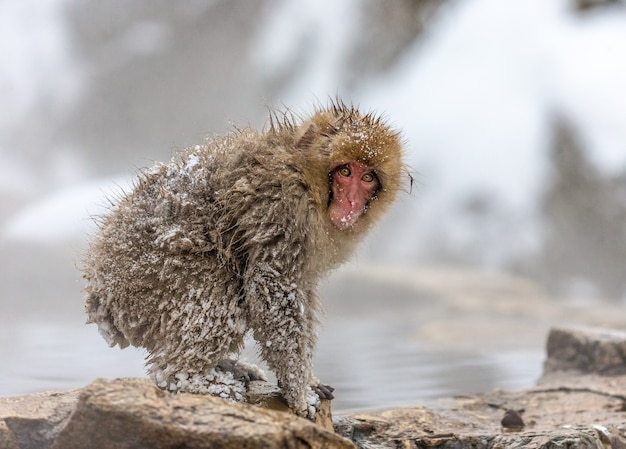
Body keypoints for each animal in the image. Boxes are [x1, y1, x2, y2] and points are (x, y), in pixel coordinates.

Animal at [81, 100, 404, 416]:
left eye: (367, 177)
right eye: (345, 172)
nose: (351, 202)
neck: (302, 172)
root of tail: (100, 295)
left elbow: (301, 290)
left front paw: (309, 379)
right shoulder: (283, 207)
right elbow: (272, 284)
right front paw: (299, 392)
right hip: (147, 281)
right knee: (214, 298)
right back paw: (189, 378)